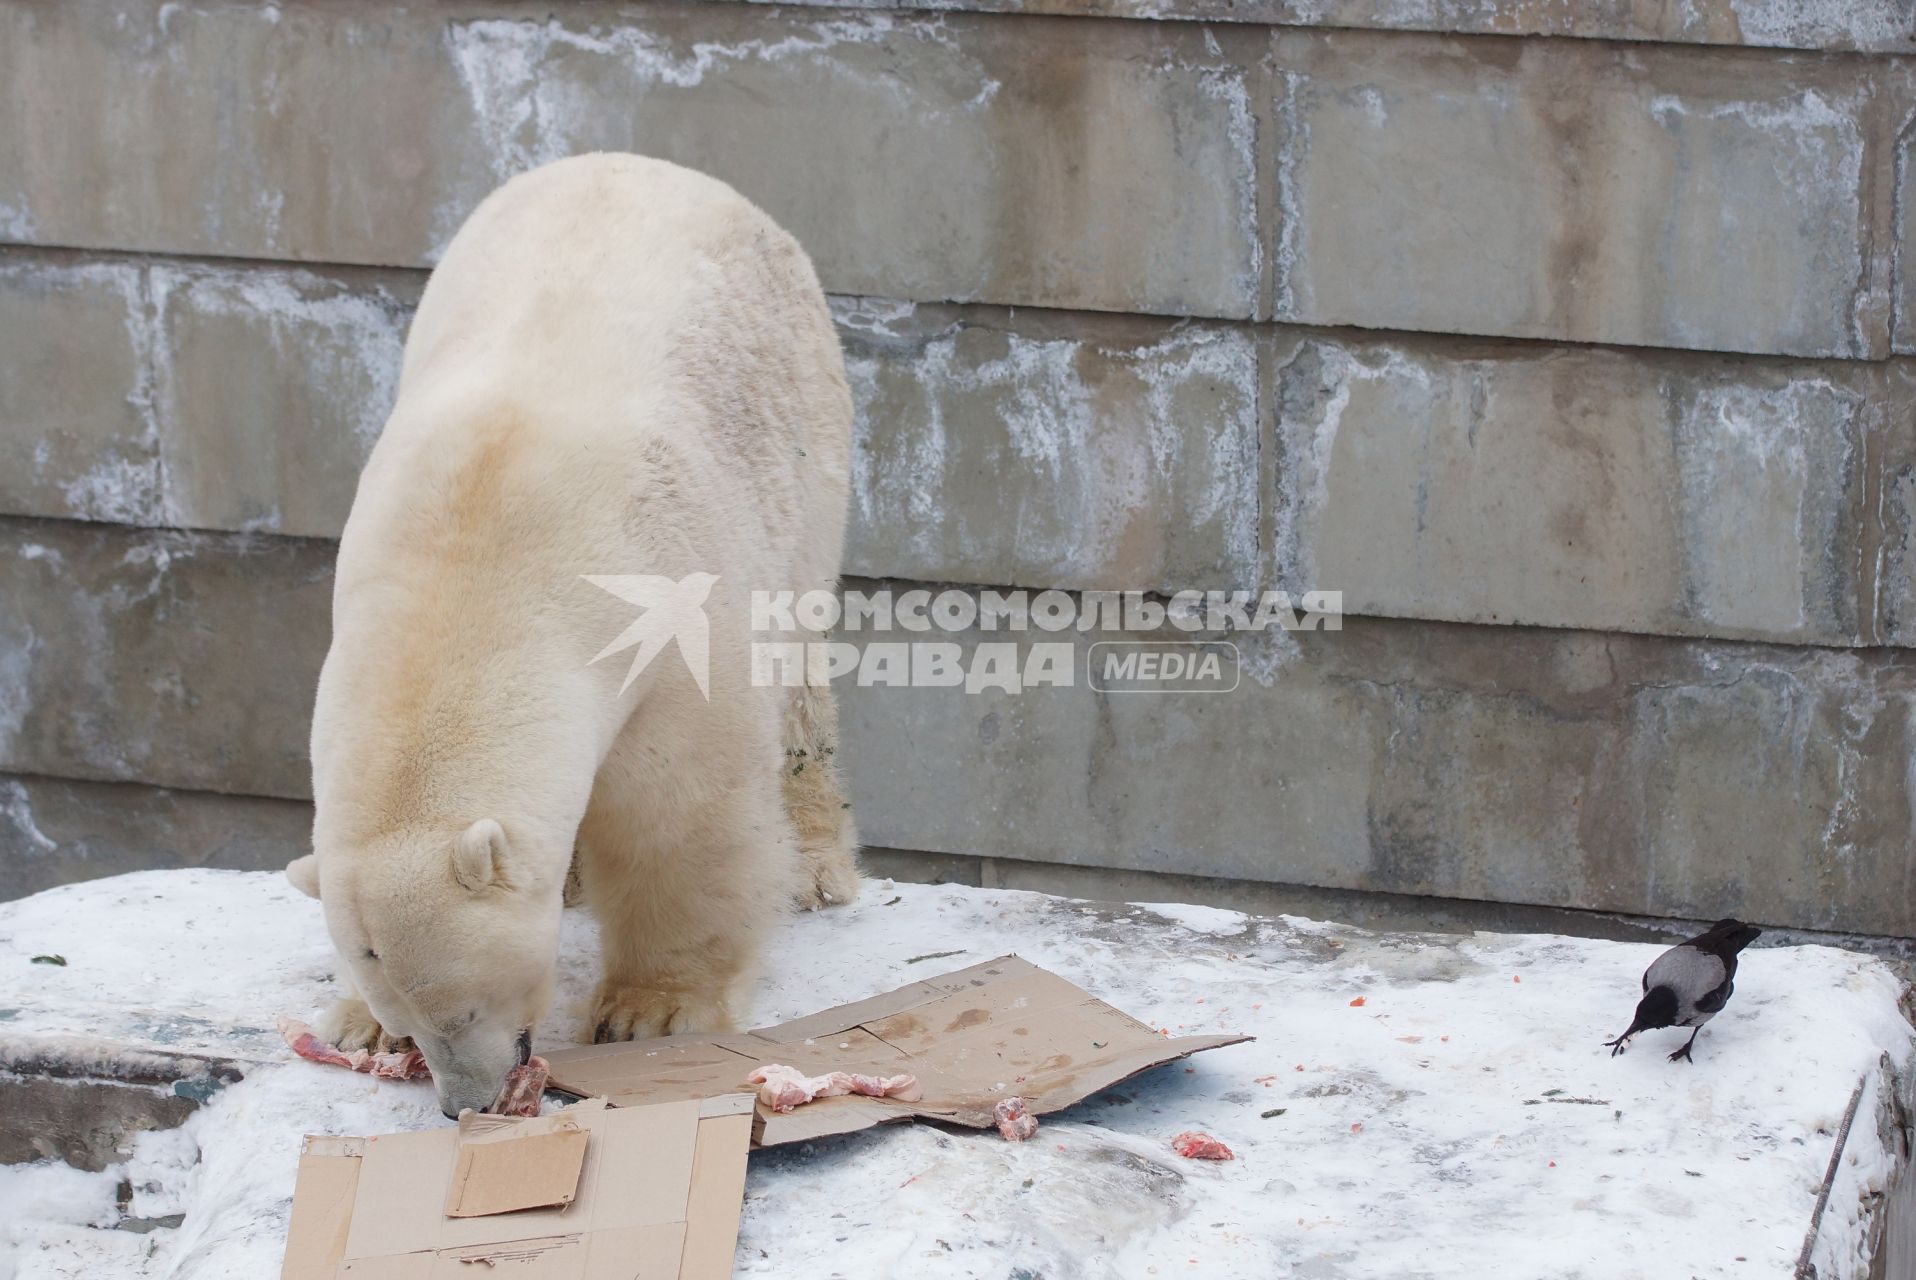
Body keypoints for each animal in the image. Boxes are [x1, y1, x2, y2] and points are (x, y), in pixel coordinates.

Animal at [283, 155, 862, 1111]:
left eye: (467, 1007)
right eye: (412, 1015)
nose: (467, 1101)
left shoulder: (663, 611)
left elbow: (680, 811)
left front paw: (651, 1010)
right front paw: (354, 1023)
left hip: (805, 436)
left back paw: (815, 862)